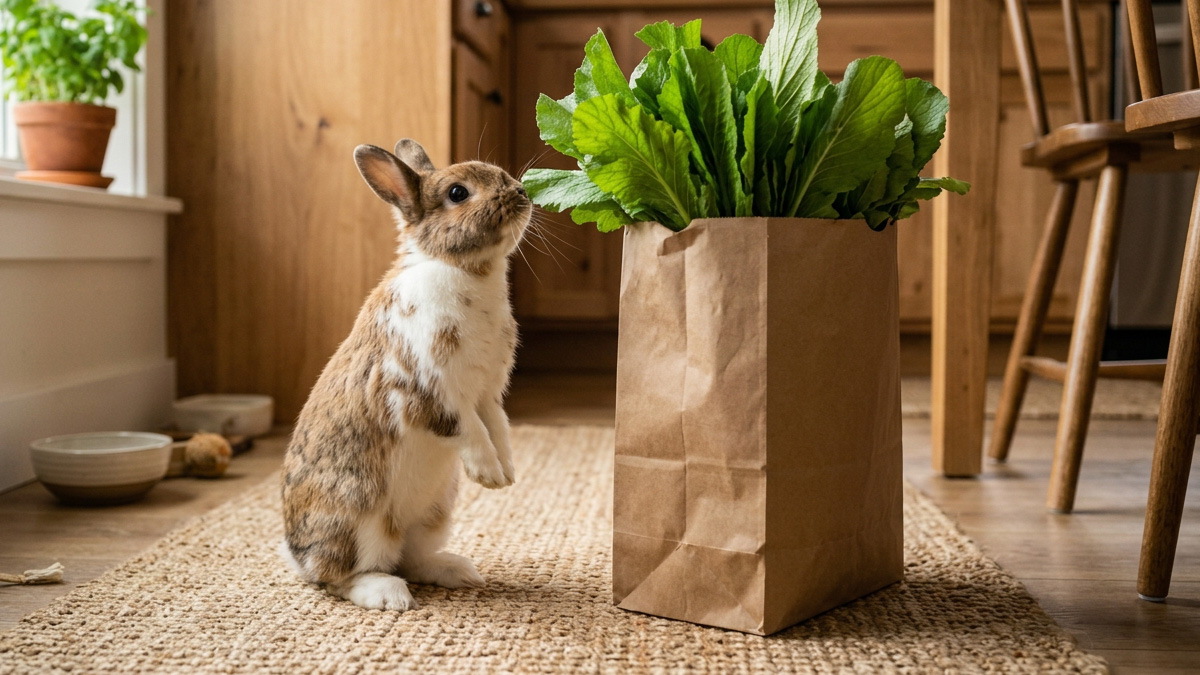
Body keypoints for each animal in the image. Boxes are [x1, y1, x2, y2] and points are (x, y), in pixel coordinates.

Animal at [279, 139, 530, 611]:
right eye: (457, 193)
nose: (522, 193)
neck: (464, 269)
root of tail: (296, 554)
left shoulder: (488, 393)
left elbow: (499, 427)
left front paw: (507, 474)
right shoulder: (429, 387)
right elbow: (469, 430)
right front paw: (489, 477)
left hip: (435, 512)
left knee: (411, 559)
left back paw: (459, 571)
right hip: (359, 516)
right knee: (341, 577)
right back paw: (389, 596)